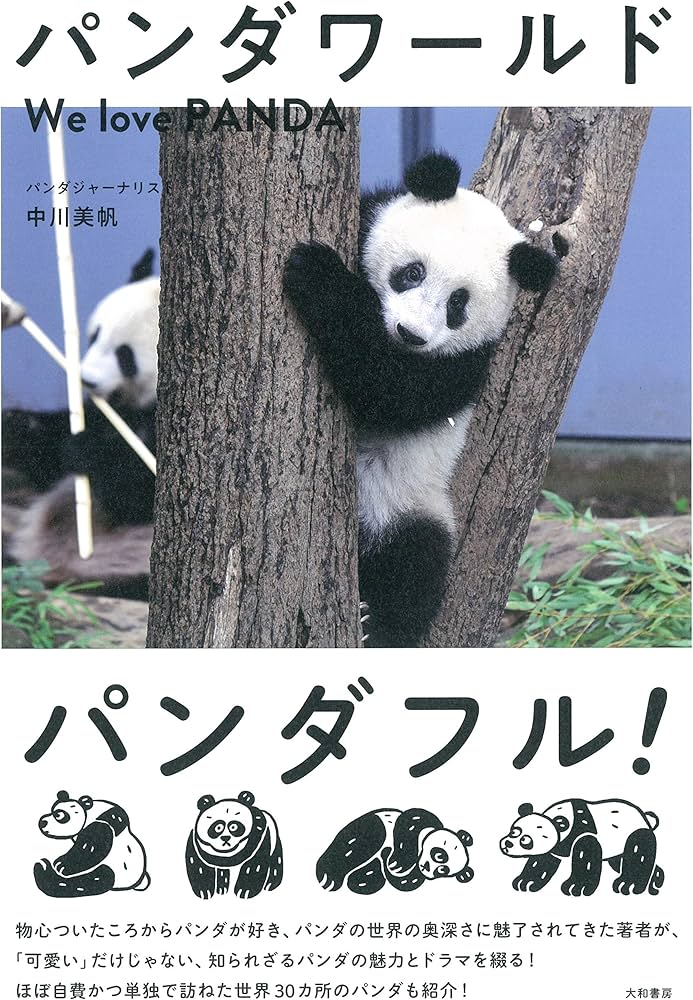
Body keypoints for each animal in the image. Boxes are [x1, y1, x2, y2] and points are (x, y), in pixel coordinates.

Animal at [4, 250, 159, 597]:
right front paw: (16, 427)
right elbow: (49, 455)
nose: (85, 380)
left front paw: (85, 450)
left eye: (125, 357)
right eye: (96, 334)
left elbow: (137, 496)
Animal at [283, 152, 557, 647]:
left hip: (409, 503)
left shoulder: (465, 364)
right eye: (413, 272)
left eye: (457, 305)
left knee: (414, 565)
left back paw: (376, 627)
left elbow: (389, 387)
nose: (410, 333)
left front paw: (317, 273)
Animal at [317, 806, 474, 895]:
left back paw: (360, 882)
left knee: (373, 874)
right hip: (372, 827)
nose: (427, 867)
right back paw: (329, 876)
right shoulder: (422, 822)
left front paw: (393, 864)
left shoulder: (417, 872)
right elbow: (412, 821)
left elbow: (407, 881)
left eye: (442, 870)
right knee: (356, 845)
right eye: (439, 855)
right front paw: (397, 863)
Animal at [499, 798, 665, 896]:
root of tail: (645, 817)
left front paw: (577, 887)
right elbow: (541, 862)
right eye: (514, 831)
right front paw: (526, 883)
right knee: (620, 861)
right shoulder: (556, 846)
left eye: (526, 840)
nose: (507, 844)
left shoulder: (584, 832)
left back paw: (628, 885)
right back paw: (654, 881)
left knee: (638, 853)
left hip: (636, 833)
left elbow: (586, 856)